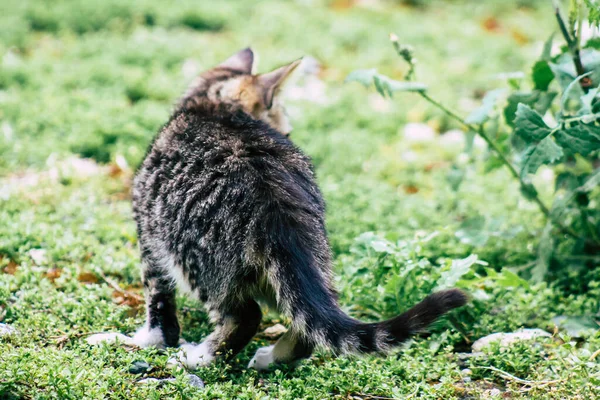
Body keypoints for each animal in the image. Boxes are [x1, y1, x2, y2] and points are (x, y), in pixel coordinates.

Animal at [118, 48, 468, 370]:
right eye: (285, 131)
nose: (288, 134)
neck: (211, 107)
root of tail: (274, 202)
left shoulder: (149, 232)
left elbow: (158, 302)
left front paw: (146, 340)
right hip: (303, 261)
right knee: (309, 319)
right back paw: (272, 358)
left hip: (196, 256)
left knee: (245, 316)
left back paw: (199, 357)